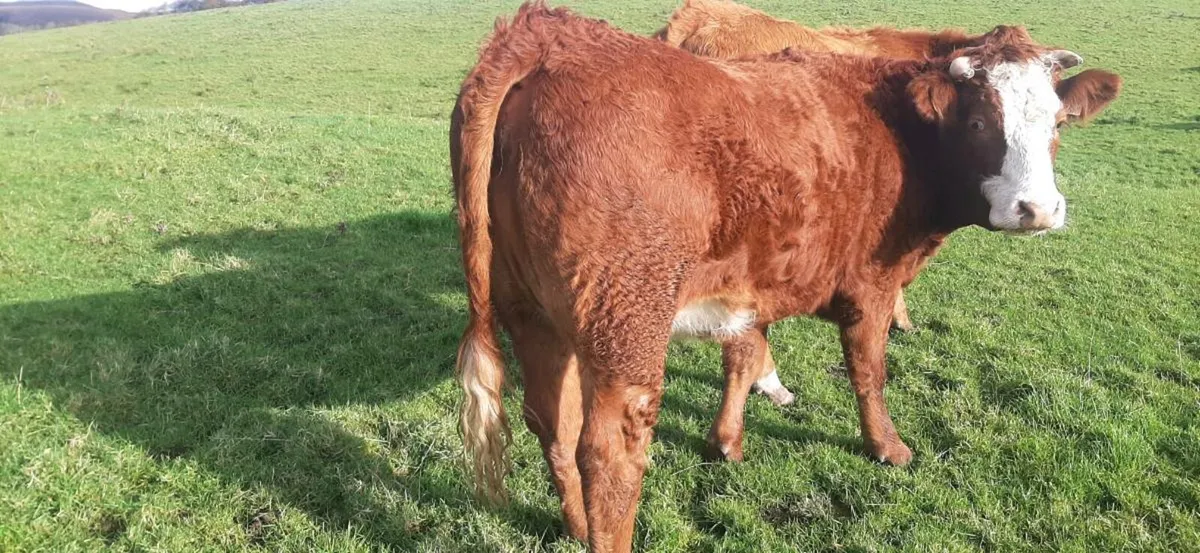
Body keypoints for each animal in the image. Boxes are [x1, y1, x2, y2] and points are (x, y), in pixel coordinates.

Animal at [451, 3, 1121, 551]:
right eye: (981, 122)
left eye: (1058, 121)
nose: (1037, 209)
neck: (899, 131)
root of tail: (549, 35)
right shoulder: (872, 282)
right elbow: (869, 373)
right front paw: (887, 448)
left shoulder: (753, 282)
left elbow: (744, 355)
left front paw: (728, 441)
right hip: (624, 325)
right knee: (610, 454)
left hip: (532, 314)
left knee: (554, 425)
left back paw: (574, 525)